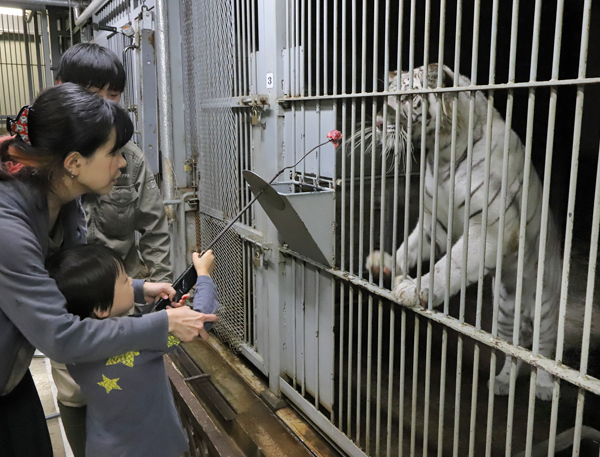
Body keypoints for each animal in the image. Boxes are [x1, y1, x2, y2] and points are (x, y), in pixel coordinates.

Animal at [366, 64, 564, 400]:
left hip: (544, 304)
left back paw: (545, 388)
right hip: (505, 310)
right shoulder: (435, 224)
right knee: (512, 350)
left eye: (406, 98)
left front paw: (413, 289)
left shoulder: (489, 230)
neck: (441, 154)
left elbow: (450, 266)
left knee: (543, 351)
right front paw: (387, 264)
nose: (379, 123)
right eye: (387, 97)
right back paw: (501, 383)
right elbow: (409, 246)